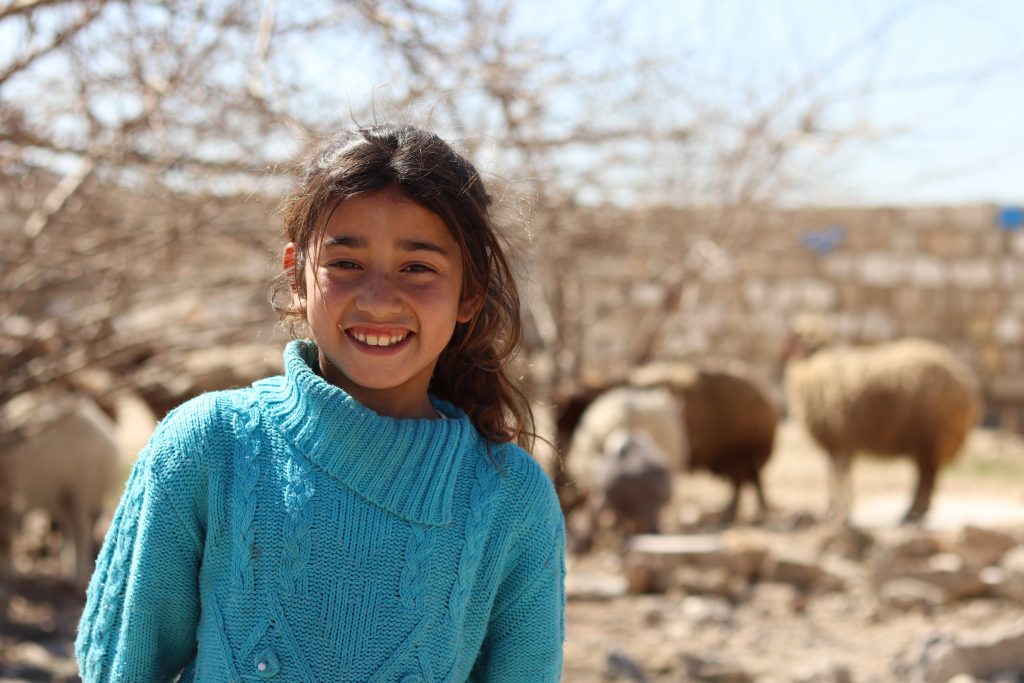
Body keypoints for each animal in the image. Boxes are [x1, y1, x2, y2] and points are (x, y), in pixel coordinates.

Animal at [0, 389, 122, 614]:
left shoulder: (10, 498)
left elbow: (5, 541)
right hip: (61, 494)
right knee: (69, 527)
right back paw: (68, 577)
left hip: (80, 486)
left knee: (81, 529)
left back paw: (78, 582)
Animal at [782, 335, 983, 524]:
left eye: (795, 341)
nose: (784, 354)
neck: (811, 364)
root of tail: (967, 384)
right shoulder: (837, 442)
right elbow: (836, 474)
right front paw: (834, 510)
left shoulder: (840, 438)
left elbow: (839, 475)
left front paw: (840, 512)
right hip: (927, 442)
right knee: (926, 477)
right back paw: (915, 512)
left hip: (929, 438)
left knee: (926, 477)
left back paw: (912, 513)